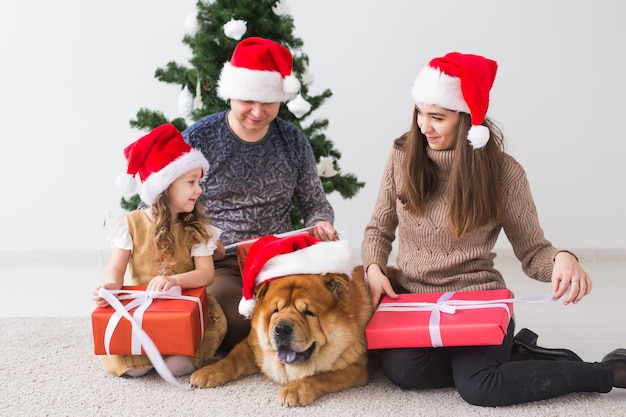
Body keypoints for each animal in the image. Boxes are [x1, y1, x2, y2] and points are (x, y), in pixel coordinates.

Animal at [190, 264, 372, 404]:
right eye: (276, 310)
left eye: (309, 313)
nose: (282, 329)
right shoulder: (251, 346)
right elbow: (230, 361)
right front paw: (206, 372)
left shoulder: (355, 367)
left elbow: (321, 376)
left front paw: (295, 390)